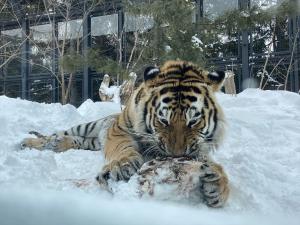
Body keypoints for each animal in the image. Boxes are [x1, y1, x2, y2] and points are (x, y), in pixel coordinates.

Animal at [21, 60, 230, 207]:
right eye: (163, 120)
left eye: (193, 121)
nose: (176, 156)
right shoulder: (118, 130)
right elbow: (123, 148)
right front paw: (122, 165)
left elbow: (211, 165)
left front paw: (217, 186)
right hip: (89, 126)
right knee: (57, 134)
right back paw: (30, 142)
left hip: (91, 141)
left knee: (77, 141)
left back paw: (59, 143)